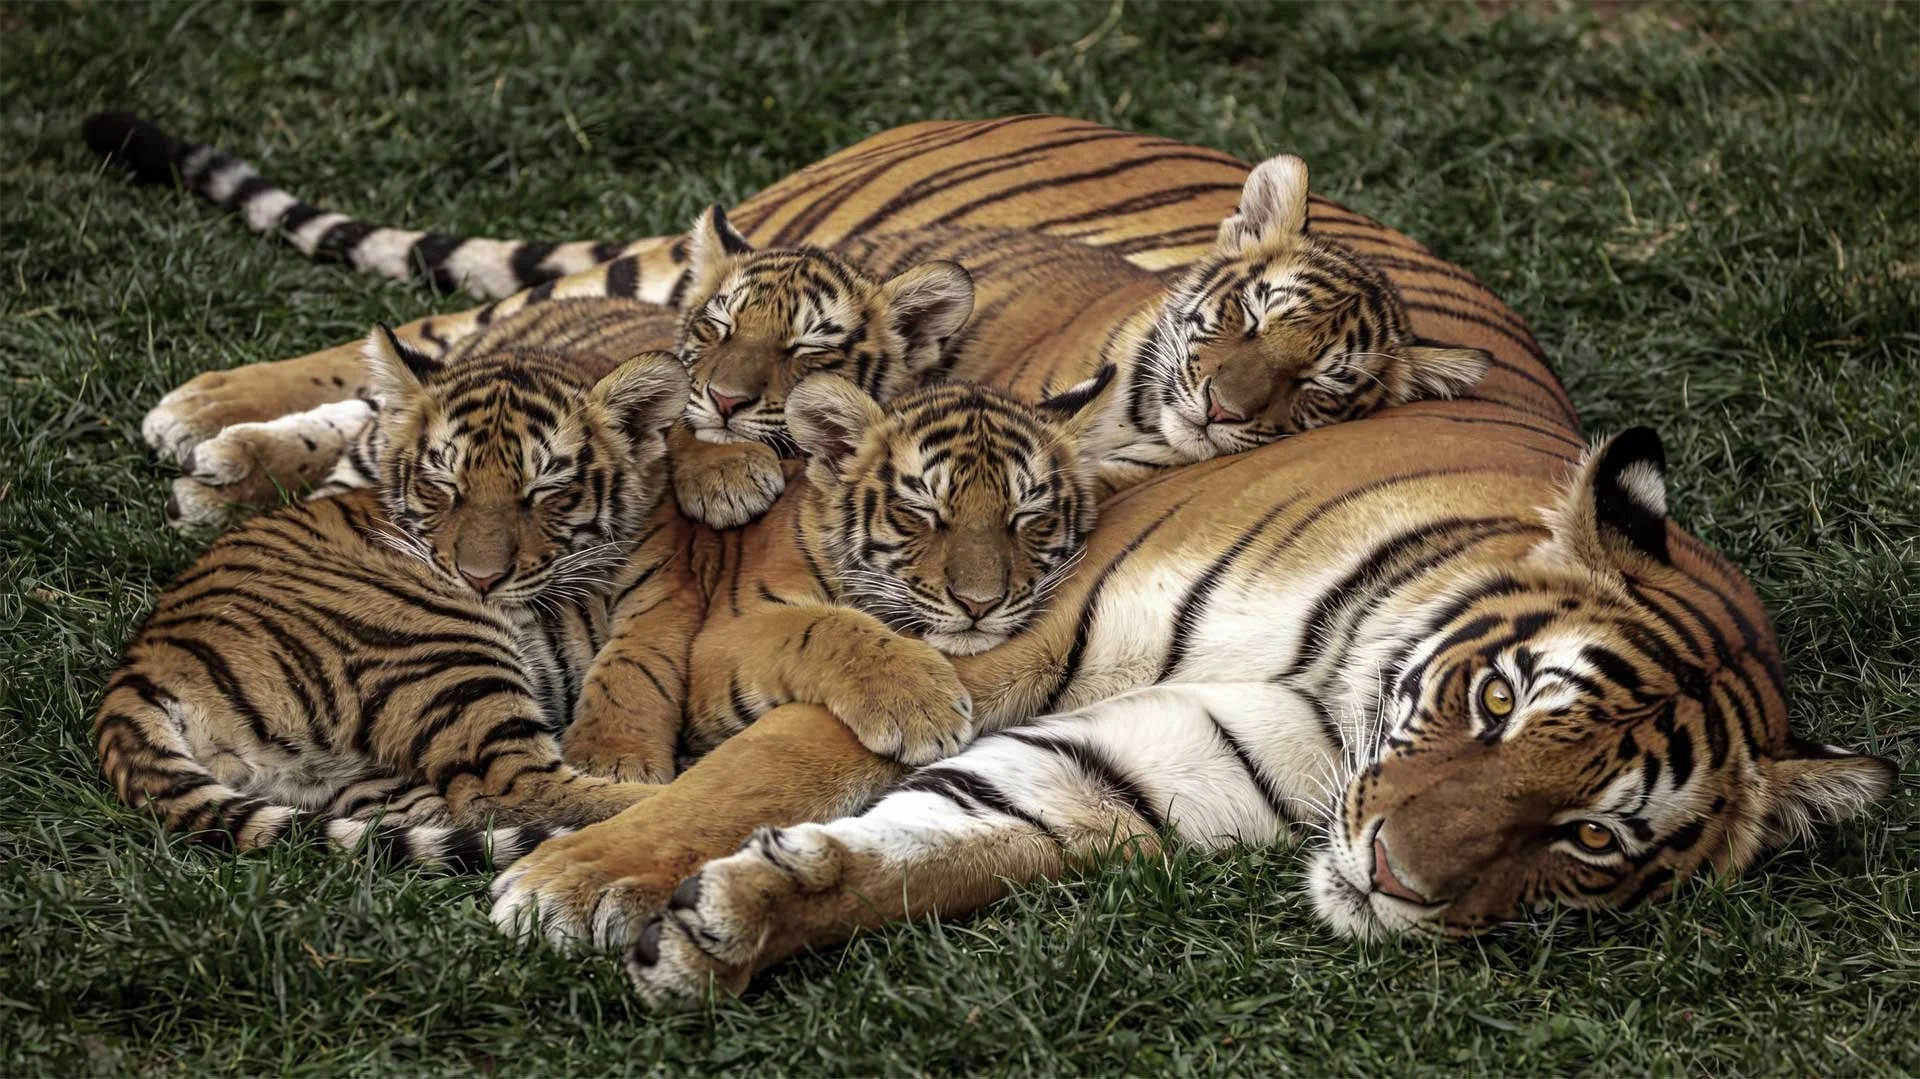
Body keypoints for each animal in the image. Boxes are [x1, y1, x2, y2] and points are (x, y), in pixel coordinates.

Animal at [85, 114, 1492, 529]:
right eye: (1248, 312)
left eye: (1327, 385)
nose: (1225, 405)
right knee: (441, 338)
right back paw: (206, 414)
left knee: (415, 391)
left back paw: (226, 461)